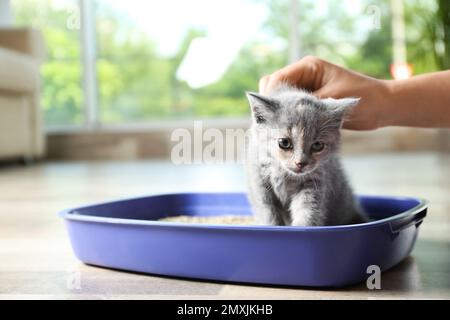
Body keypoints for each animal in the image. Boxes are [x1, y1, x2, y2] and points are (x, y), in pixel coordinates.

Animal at [244, 84, 368, 225]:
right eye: (284, 142)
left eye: (318, 145)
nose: (301, 163)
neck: (284, 174)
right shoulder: (259, 185)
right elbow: (268, 213)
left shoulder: (315, 184)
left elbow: (307, 211)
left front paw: (301, 227)